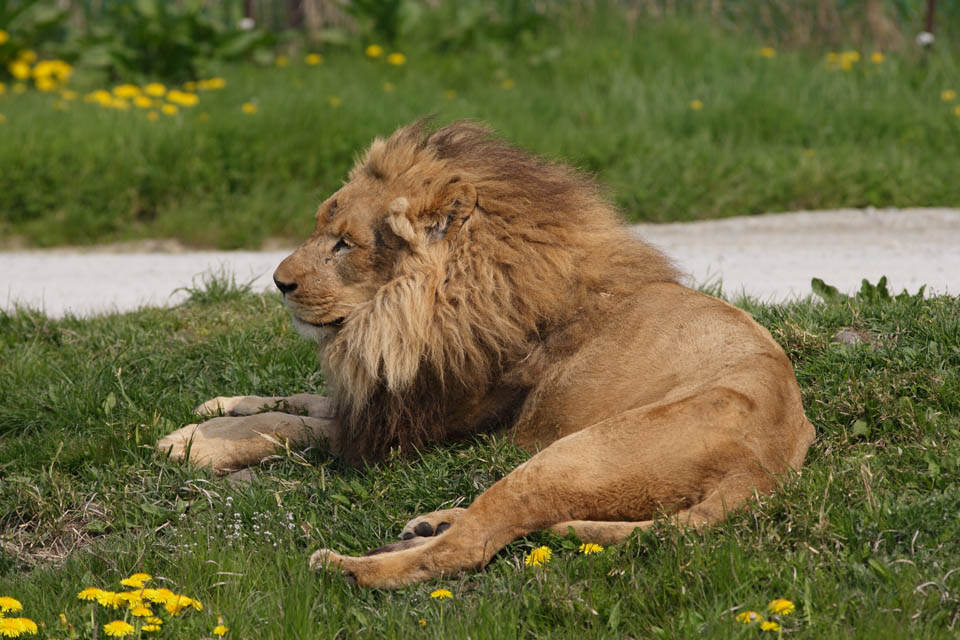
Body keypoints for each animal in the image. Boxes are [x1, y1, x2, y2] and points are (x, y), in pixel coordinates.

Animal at [156, 117, 808, 588]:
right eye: (321, 229)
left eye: (344, 244)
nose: (278, 282)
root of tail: (770, 460)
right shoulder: (385, 396)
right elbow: (298, 400)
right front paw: (220, 406)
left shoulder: (412, 429)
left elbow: (298, 427)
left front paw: (194, 443)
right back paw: (429, 521)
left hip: (575, 453)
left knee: (470, 546)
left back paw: (345, 566)